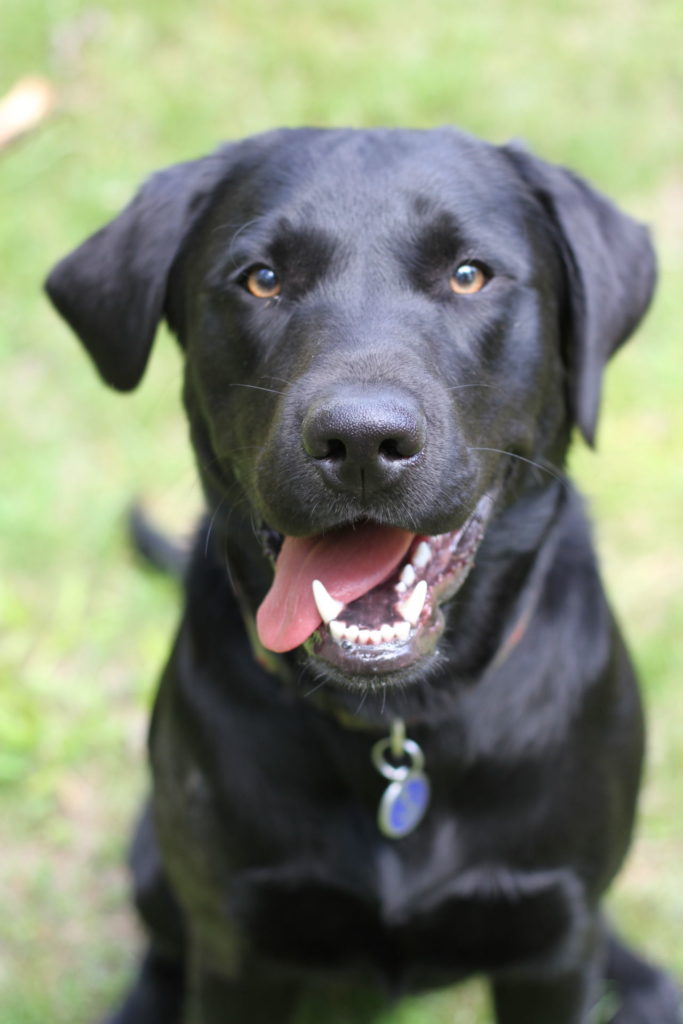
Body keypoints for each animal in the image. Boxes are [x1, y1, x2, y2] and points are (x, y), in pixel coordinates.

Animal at [45, 128, 679, 1024]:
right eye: (261, 278)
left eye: (468, 274)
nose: (361, 442)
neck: (398, 727)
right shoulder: (238, 944)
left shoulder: (549, 944)